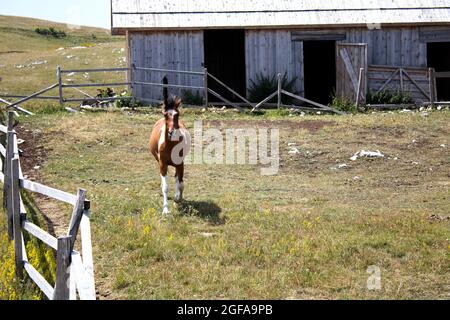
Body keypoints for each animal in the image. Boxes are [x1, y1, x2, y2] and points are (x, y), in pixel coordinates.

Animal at [149, 81, 189, 215]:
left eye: (177, 114)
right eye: (166, 114)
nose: (173, 132)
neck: (171, 146)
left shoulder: (181, 164)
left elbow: (180, 183)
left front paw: (178, 198)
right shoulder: (163, 164)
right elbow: (166, 187)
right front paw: (166, 209)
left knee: (177, 178)